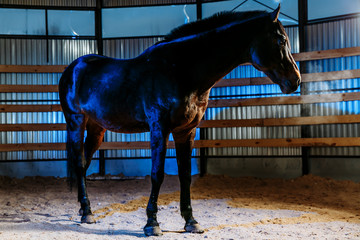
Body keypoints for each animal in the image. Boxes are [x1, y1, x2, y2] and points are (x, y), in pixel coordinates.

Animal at [59, 5, 300, 236]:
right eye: (281, 40)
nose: (295, 80)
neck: (182, 70)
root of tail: (73, 68)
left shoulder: (187, 131)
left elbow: (185, 175)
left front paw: (191, 221)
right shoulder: (160, 128)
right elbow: (157, 174)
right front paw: (152, 223)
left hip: (97, 128)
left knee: (84, 164)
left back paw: (85, 209)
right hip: (76, 122)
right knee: (79, 164)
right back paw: (86, 213)